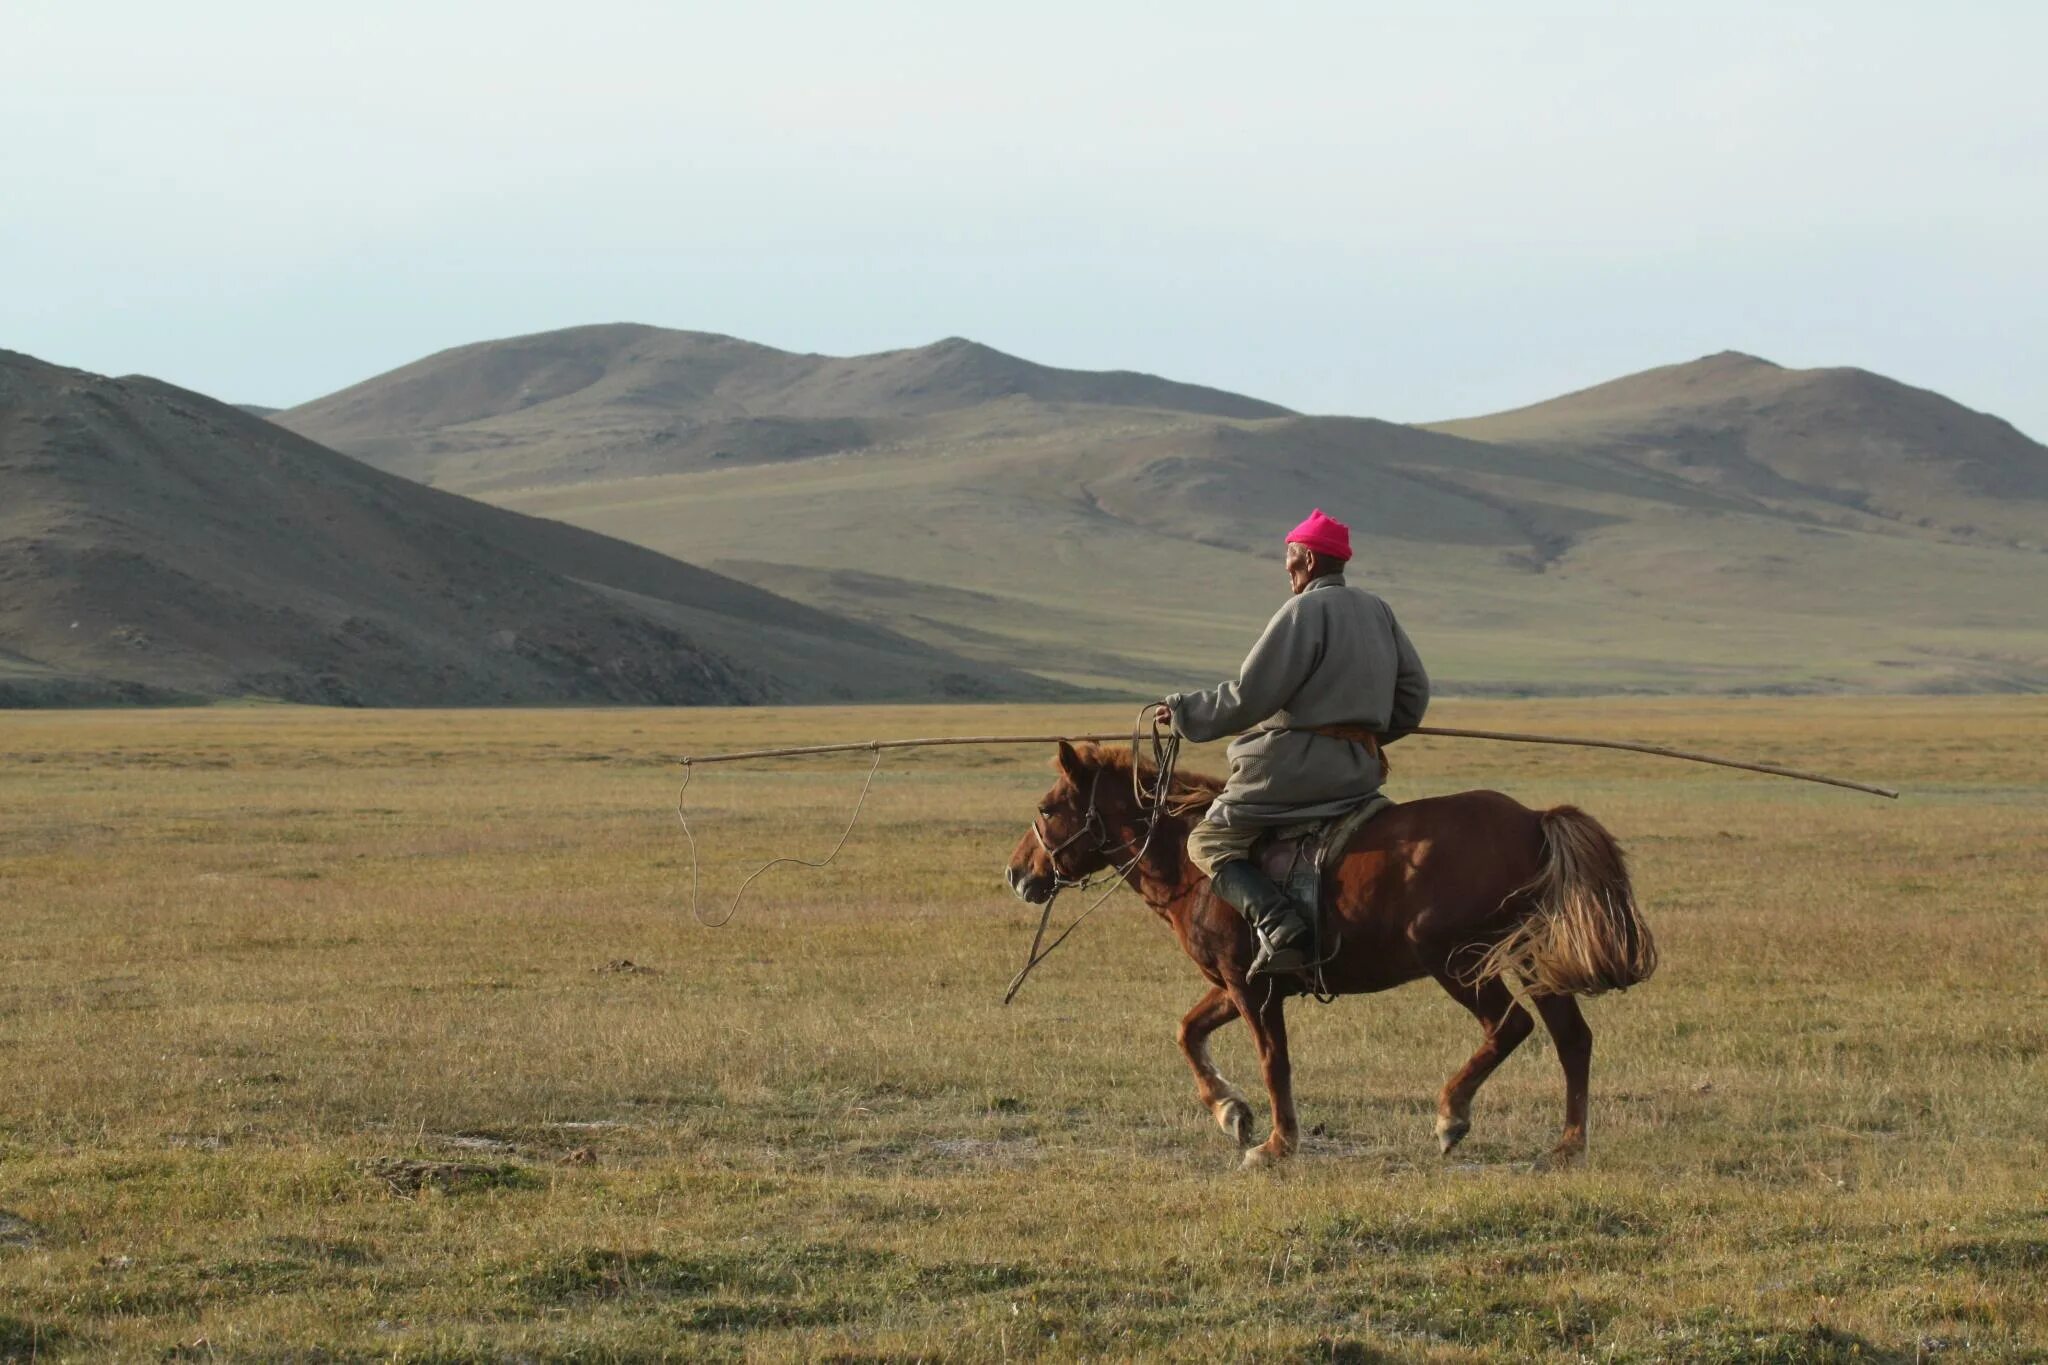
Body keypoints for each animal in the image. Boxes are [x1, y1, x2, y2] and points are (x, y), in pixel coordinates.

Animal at [1007, 740, 1662, 1170]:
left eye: (1045, 809)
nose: (1017, 873)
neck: (1192, 864)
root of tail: (1533, 820)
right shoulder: (1236, 983)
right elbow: (1188, 1031)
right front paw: (1230, 1112)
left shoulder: (1253, 988)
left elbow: (1274, 1061)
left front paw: (1275, 1144)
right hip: (1525, 954)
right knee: (1571, 1037)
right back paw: (1568, 1144)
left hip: (1456, 959)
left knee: (1511, 1026)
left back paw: (1452, 1115)